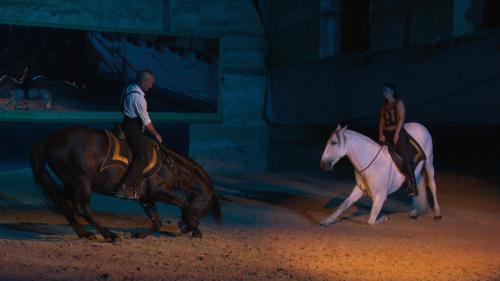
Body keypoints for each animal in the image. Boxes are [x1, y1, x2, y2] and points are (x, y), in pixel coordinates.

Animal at [29, 124, 221, 241]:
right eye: (206, 208)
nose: (183, 227)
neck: (170, 167)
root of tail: (51, 139)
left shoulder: (146, 199)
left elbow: (157, 221)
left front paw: (140, 235)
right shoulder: (160, 193)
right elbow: (184, 204)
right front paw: (196, 230)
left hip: (69, 182)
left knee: (66, 206)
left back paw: (85, 234)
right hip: (80, 180)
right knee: (82, 208)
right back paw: (110, 235)